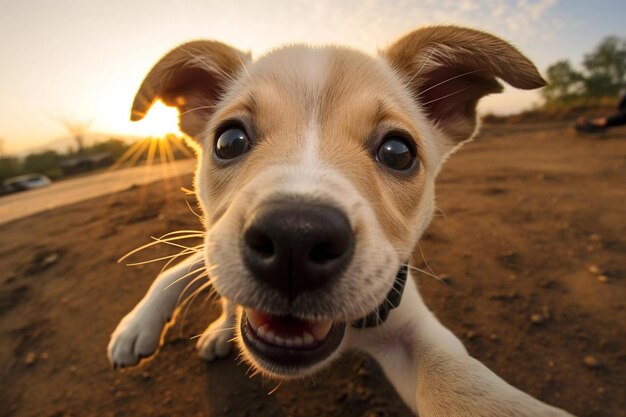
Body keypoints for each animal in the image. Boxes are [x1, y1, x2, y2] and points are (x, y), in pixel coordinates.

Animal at [106, 26, 572, 416]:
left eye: (399, 152)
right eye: (229, 140)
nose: (294, 238)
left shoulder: (410, 326)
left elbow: (460, 383)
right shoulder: (213, 243)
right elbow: (176, 269)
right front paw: (135, 329)